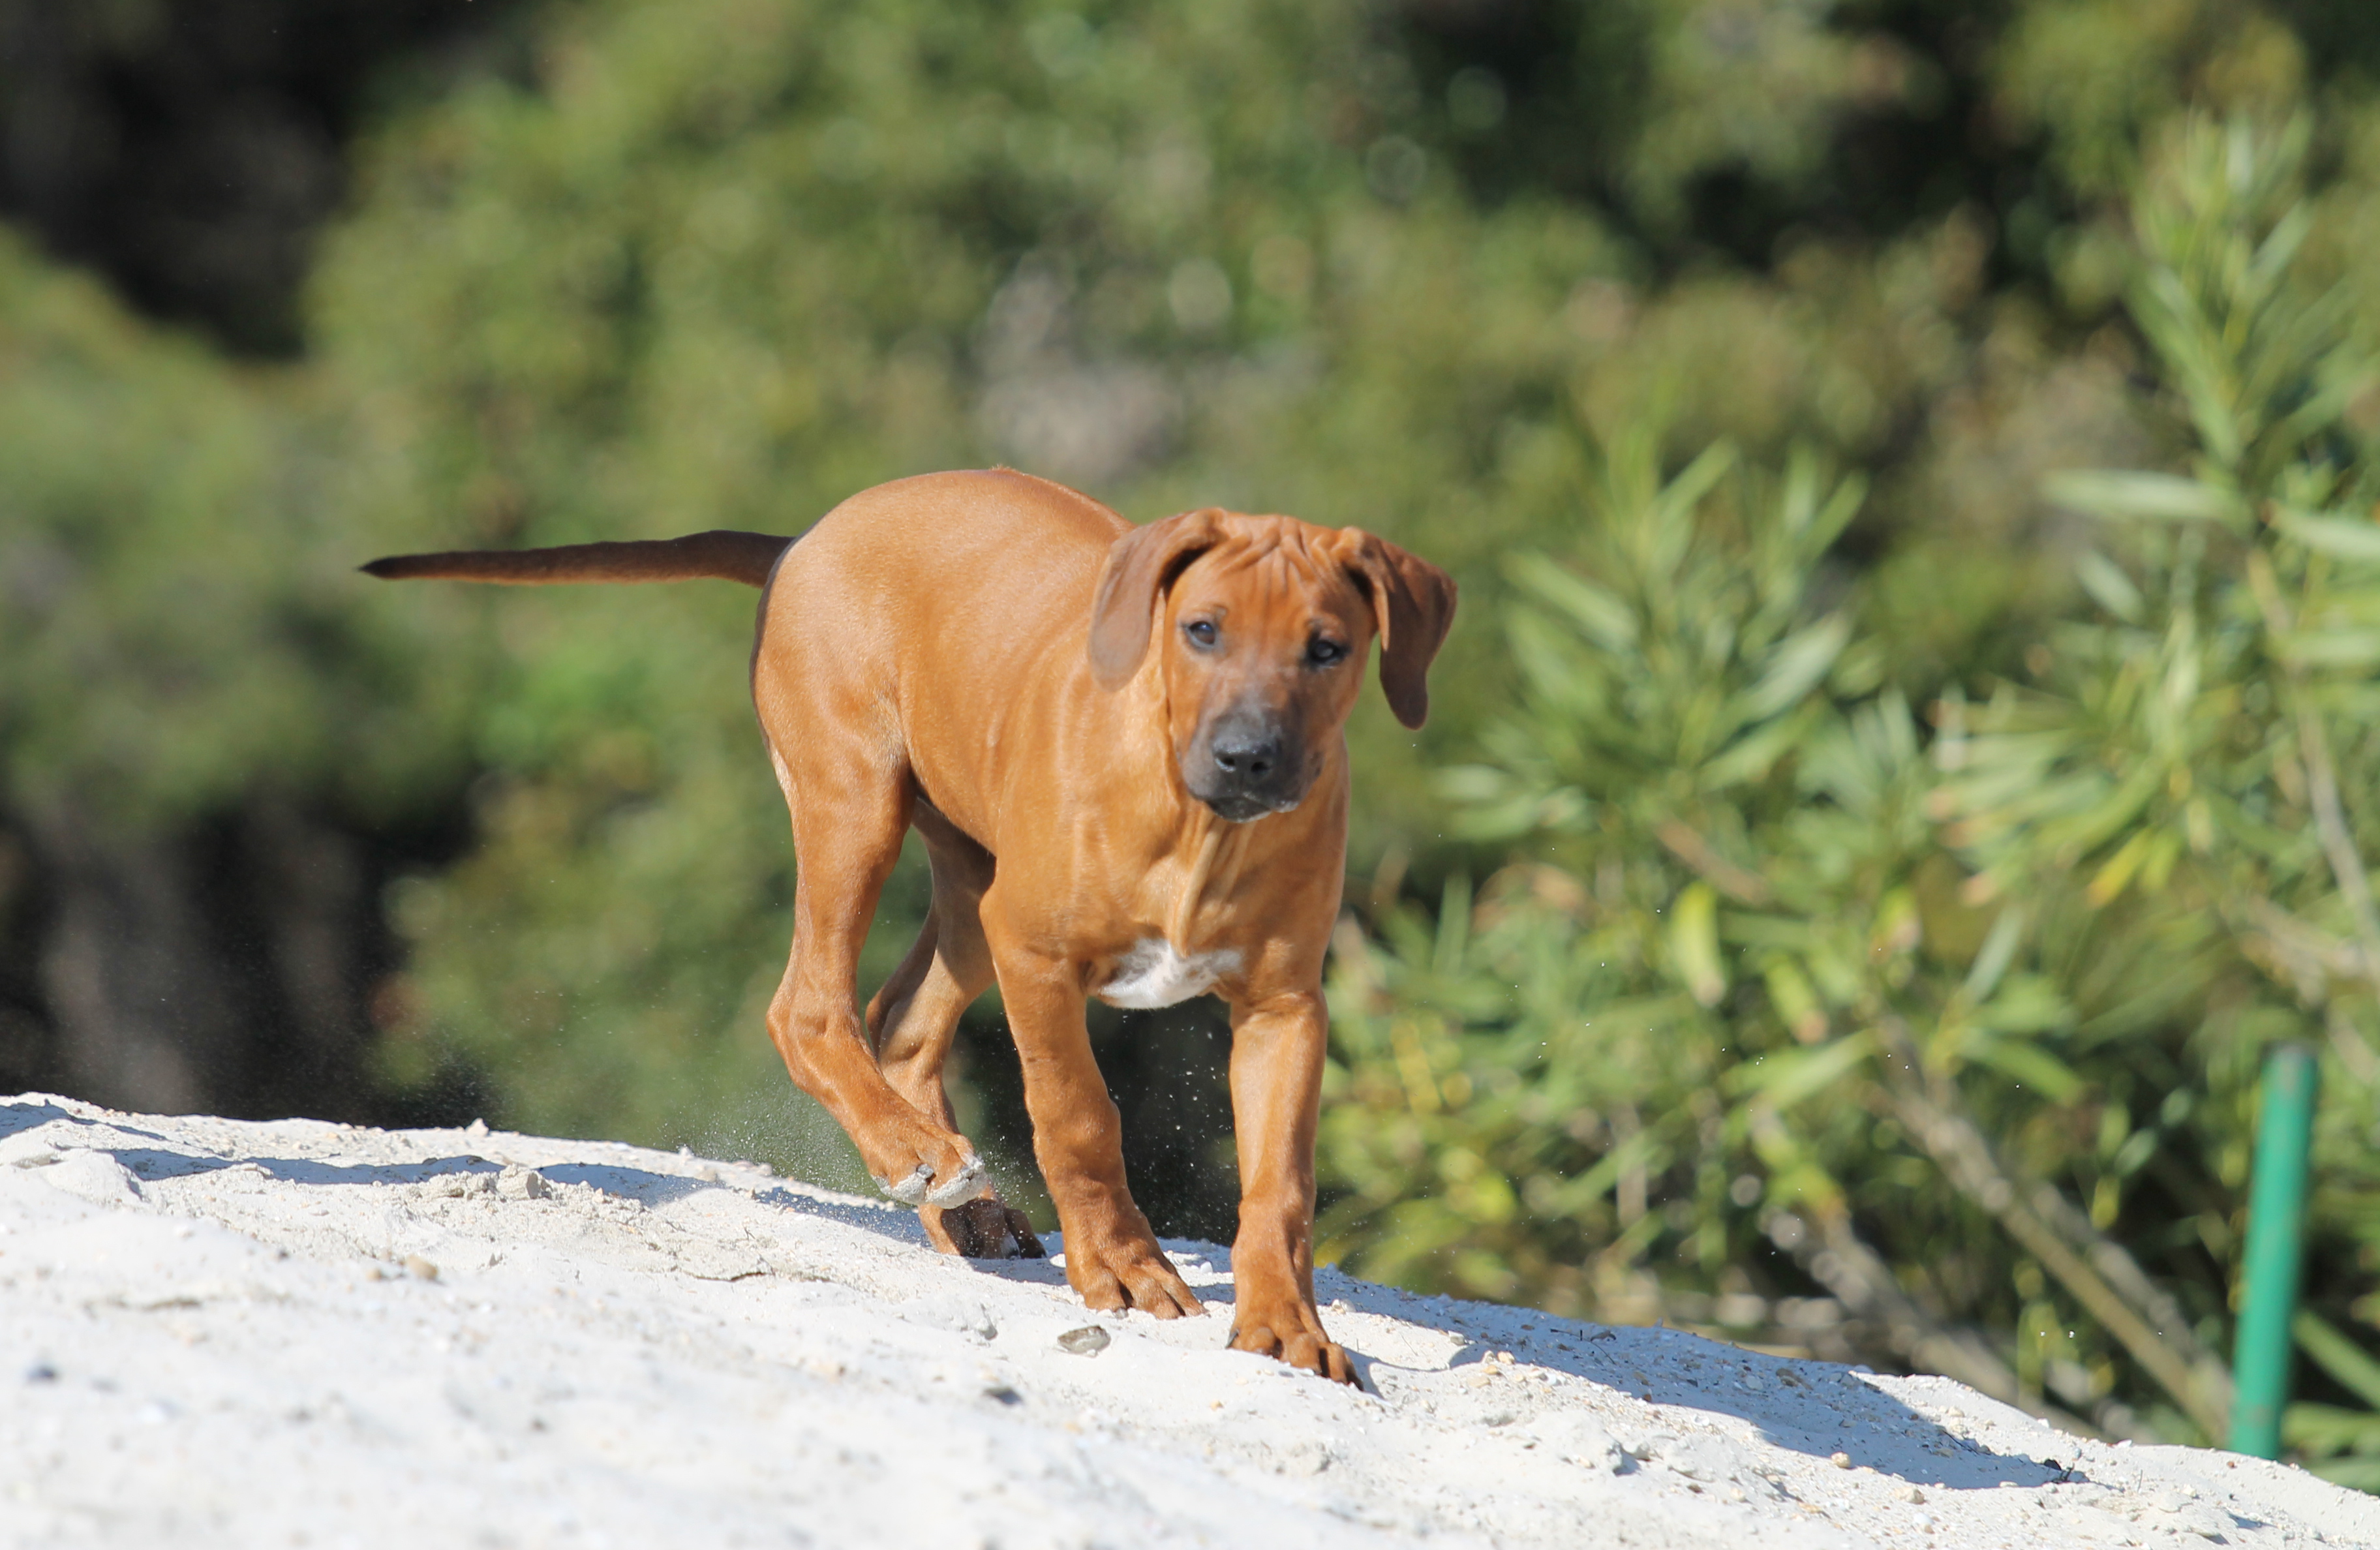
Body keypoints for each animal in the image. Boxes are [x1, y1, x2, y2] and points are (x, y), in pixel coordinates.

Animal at [365, 468, 1455, 1381]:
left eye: (1328, 648)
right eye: (1202, 631)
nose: (1248, 758)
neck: (1200, 830)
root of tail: (807, 535)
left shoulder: (1284, 1007)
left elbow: (1281, 1183)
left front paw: (1285, 1325)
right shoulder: (1038, 956)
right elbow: (1078, 1117)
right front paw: (1122, 1266)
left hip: (969, 879)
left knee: (899, 1024)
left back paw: (958, 1200)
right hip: (856, 803)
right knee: (808, 1008)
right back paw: (917, 1157)